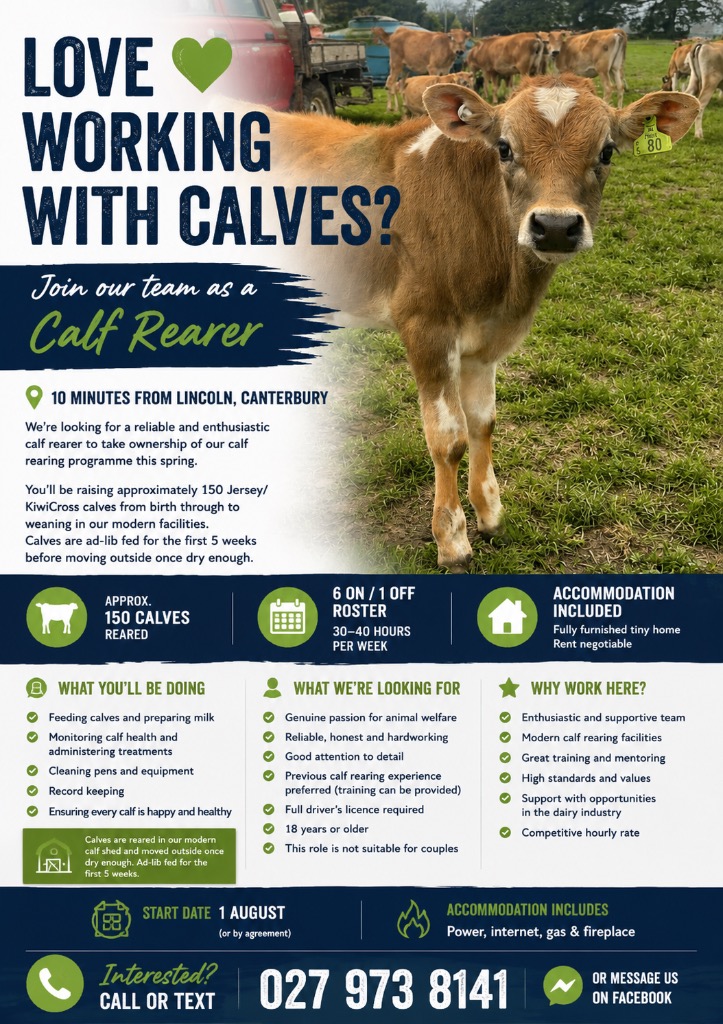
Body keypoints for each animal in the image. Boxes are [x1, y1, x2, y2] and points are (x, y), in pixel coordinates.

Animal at [257, 75, 698, 571]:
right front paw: (451, 539)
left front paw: (490, 513)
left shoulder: (486, 343)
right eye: (504, 148)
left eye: (606, 152)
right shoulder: (425, 325)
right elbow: (448, 438)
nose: (555, 226)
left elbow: (483, 422)